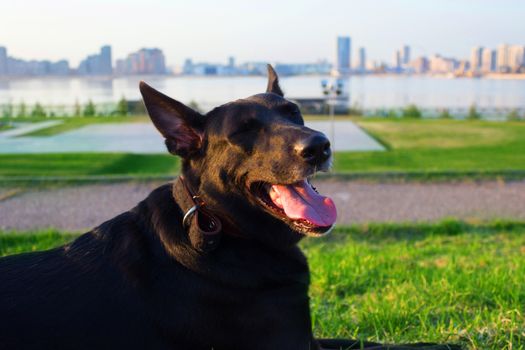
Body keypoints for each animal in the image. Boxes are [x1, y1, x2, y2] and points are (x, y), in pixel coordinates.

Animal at [0, 66, 458, 350]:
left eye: (296, 113)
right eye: (243, 132)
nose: (320, 145)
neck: (218, 226)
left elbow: (375, 341)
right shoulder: (293, 344)